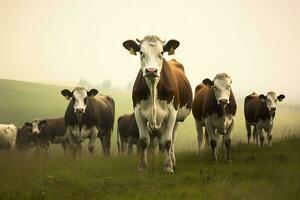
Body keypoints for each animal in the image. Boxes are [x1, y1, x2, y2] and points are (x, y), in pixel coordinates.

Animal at [123, 34, 193, 172]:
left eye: (161, 52)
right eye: (141, 52)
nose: (151, 70)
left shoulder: (172, 112)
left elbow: (167, 141)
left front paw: (168, 167)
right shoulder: (138, 111)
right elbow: (144, 141)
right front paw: (143, 167)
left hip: (177, 120)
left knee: (172, 138)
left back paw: (173, 161)